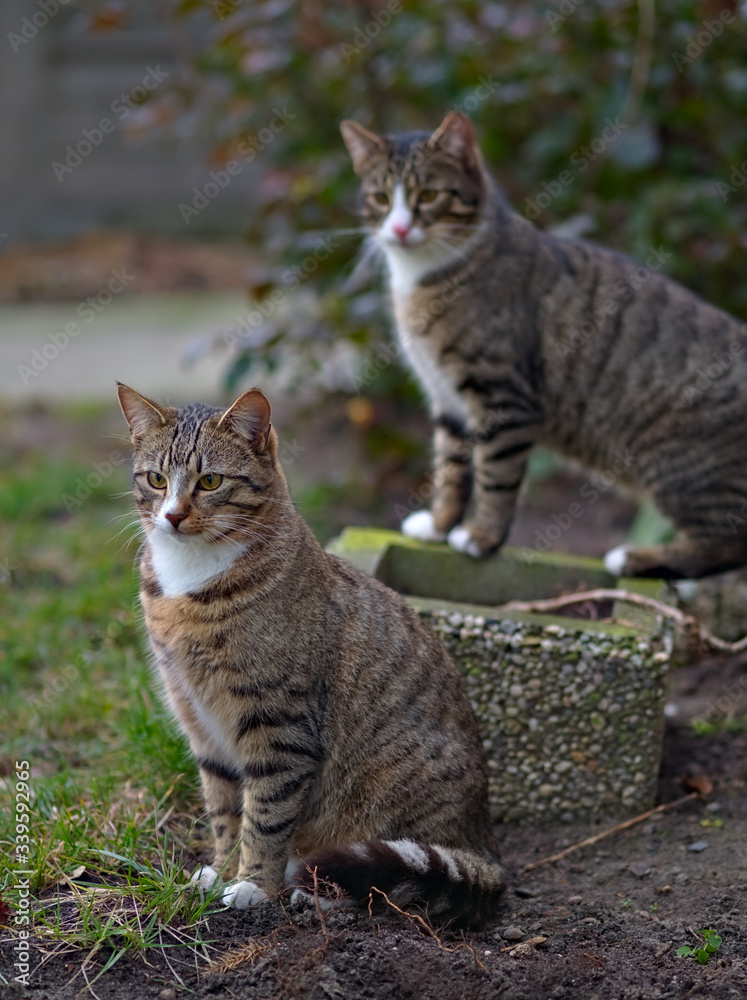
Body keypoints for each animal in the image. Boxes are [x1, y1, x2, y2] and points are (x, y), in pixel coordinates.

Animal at [117, 384, 502, 928]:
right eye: (156, 479)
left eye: (210, 481)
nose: (171, 516)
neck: (189, 578)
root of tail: (483, 845)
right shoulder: (201, 723)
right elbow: (224, 811)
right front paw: (222, 869)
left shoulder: (279, 725)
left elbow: (265, 815)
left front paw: (253, 884)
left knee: (395, 880)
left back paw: (318, 893)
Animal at [346, 110, 747, 584]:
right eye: (379, 198)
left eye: (428, 195)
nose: (400, 228)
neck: (421, 278)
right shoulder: (446, 398)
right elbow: (451, 468)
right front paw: (439, 526)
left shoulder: (502, 396)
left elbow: (494, 475)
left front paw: (480, 537)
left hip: (676, 464)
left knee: (727, 544)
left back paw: (636, 558)